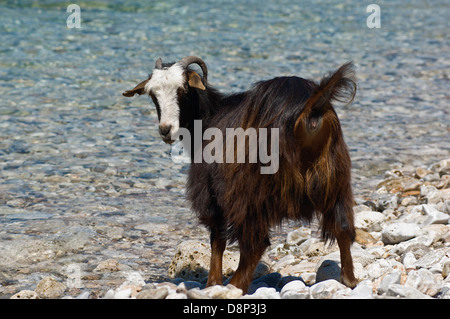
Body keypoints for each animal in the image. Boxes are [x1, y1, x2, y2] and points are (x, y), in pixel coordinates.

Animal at [123, 56, 358, 294]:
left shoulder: (210, 190)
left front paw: (212, 283)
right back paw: (349, 279)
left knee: (255, 242)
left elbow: (217, 238)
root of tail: (311, 108)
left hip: (252, 189)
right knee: (343, 227)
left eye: (183, 90)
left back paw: (235, 285)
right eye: (153, 94)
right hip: (335, 179)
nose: (166, 130)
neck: (209, 117)